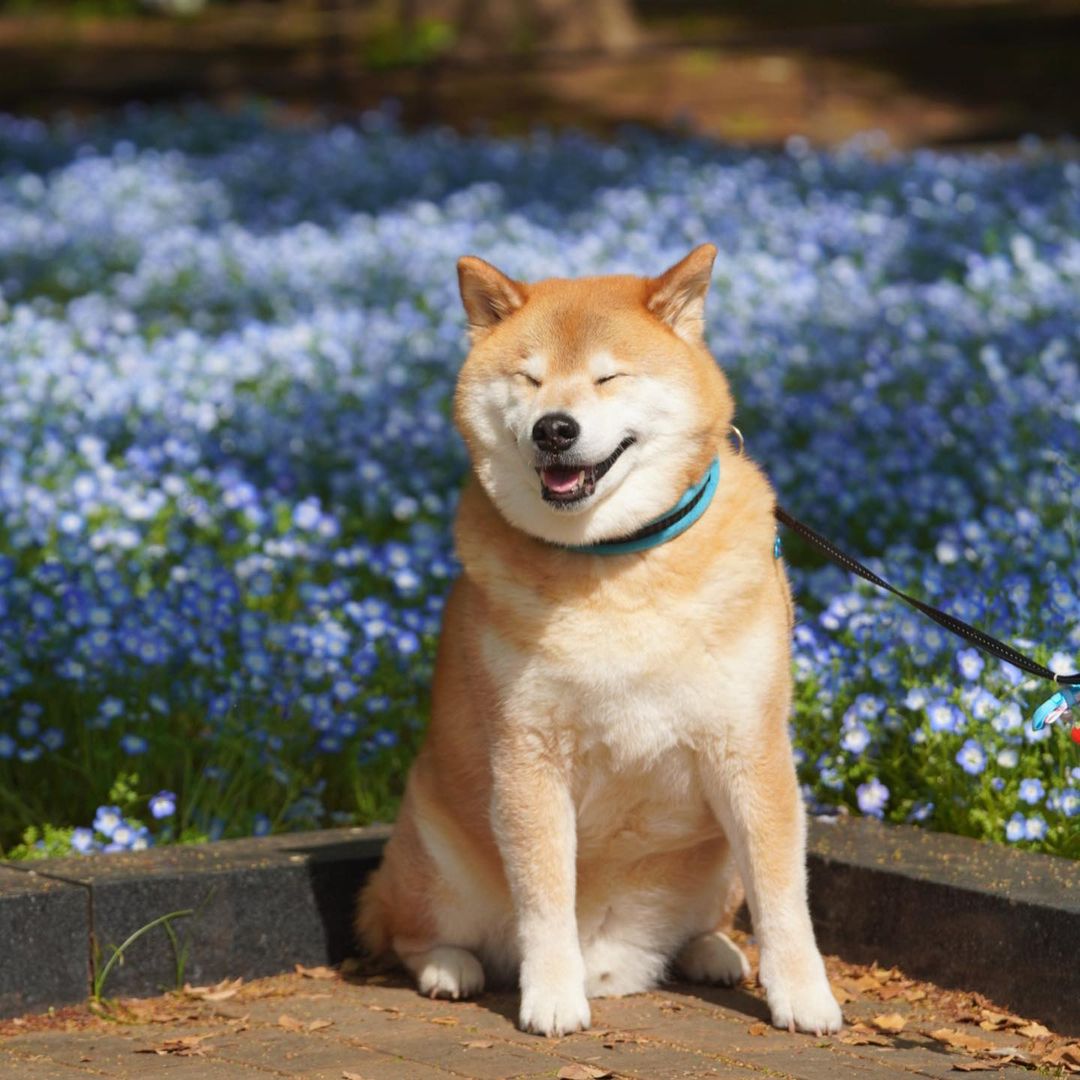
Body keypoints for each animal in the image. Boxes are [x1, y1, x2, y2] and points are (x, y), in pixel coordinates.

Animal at [356, 245, 842, 1036]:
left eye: (609, 376)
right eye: (528, 377)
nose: (554, 428)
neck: (613, 560)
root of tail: (621, 962)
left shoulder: (752, 749)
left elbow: (782, 895)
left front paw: (802, 994)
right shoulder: (528, 755)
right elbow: (545, 895)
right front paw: (552, 995)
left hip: (716, 865)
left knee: (713, 918)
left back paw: (714, 951)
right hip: (435, 852)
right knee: (406, 931)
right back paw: (447, 967)